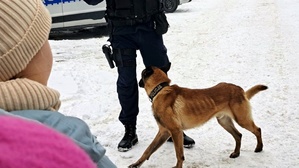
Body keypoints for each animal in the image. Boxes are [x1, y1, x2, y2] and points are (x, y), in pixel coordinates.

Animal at [130, 66, 268, 167]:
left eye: (141, 74)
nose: (137, 82)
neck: (160, 90)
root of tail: (240, 90)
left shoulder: (175, 131)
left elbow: (179, 155)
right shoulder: (164, 132)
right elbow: (148, 150)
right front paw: (136, 164)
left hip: (242, 119)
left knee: (257, 129)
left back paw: (259, 148)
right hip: (224, 122)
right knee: (238, 135)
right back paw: (236, 153)